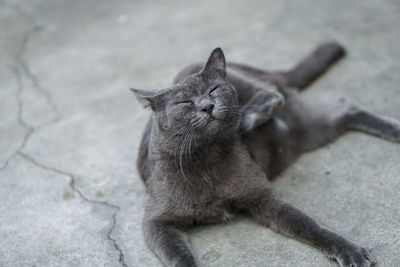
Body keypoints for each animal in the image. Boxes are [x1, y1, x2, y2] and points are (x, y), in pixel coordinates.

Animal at [131, 43, 400, 266]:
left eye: (214, 89)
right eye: (185, 103)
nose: (207, 106)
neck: (207, 157)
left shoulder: (262, 197)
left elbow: (308, 225)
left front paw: (348, 249)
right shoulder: (156, 222)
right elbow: (178, 256)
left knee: (273, 93)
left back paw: (248, 119)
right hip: (310, 131)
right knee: (347, 111)